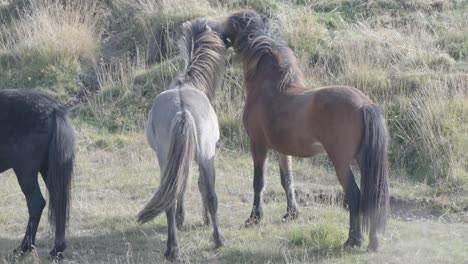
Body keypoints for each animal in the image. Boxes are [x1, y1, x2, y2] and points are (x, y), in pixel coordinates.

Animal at [0, 88, 74, 258]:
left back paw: (23, 248)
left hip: (25, 173)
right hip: (48, 170)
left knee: (36, 203)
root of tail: (54, 109)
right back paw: (56, 250)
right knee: (57, 199)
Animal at [136, 18, 228, 260]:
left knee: (172, 195)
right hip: (204, 157)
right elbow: (200, 186)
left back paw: (173, 247)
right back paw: (216, 240)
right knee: (210, 194)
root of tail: (183, 109)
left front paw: (182, 218)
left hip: (170, 160)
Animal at [223, 9, 392, 251]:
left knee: (354, 195)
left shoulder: (258, 144)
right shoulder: (281, 150)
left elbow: (259, 182)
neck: (271, 88)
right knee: (372, 197)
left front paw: (254, 218)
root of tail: (364, 104)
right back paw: (372, 242)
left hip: (341, 162)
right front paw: (291, 214)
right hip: (363, 159)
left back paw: (352, 240)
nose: (219, 36)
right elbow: (287, 180)